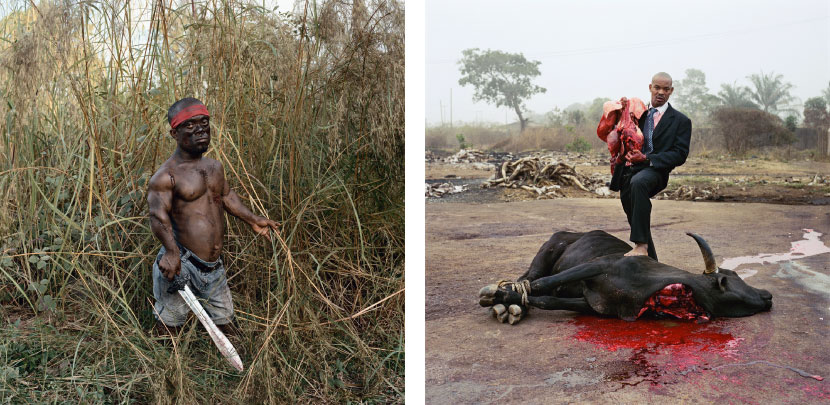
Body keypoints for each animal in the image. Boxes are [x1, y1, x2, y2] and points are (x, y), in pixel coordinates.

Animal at [478, 229, 776, 324]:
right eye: (730, 278)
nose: (768, 295)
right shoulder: (598, 265)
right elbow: (541, 285)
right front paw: (499, 294)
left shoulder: (593, 305)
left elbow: (546, 300)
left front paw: (509, 299)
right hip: (545, 254)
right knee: (531, 277)